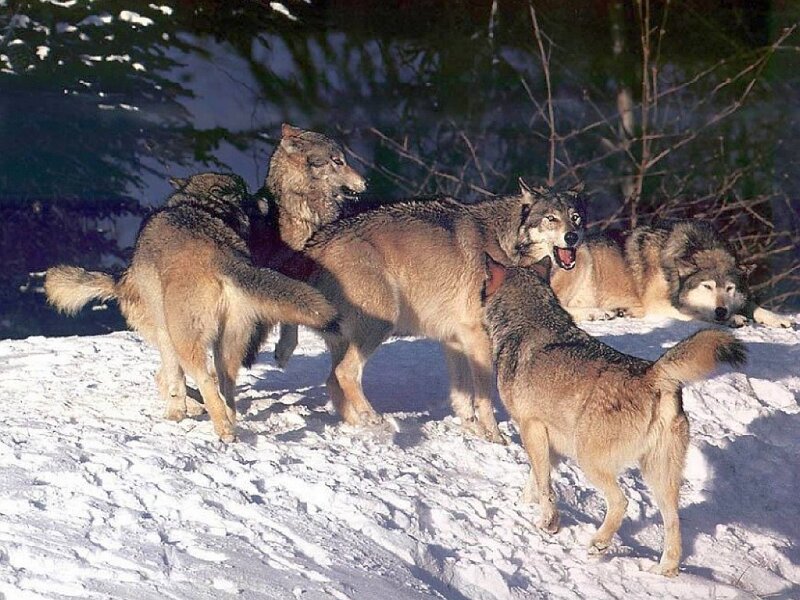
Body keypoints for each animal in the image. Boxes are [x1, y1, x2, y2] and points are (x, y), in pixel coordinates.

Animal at [45, 173, 338, 442]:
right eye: (247, 192)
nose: (265, 198)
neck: (202, 205)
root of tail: (221, 257)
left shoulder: (165, 334)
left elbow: (175, 380)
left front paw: (176, 413)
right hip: (228, 347)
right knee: (226, 387)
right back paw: (229, 423)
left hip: (188, 343)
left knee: (203, 379)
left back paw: (221, 428)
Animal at [265, 180, 586, 442]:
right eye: (551, 218)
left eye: (576, 218)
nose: (573, 237)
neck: (505, 244)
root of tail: (314, 244)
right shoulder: (478, 338)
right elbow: (484, 398)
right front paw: (496, 438)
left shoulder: (454, 341)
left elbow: (461, 397)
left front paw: (473, 431)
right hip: (382, 322)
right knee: (345, 373)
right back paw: (374, 418)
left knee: (333, 380)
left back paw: (360, 425)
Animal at [481, 254, 746, 576]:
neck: (528, 321)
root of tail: (653, 374)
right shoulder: (547, 441)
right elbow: (535, 480)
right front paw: (525, 506)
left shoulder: (530, 428)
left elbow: (545, 486)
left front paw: (548, 523)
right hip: (658, 477)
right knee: (673, 520)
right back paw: (664, 570)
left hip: (589, 460)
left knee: (622, 502)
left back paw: (599, 543)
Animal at [625, 220, 793, 328]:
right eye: (707, 287)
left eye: (729, 288)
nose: (721, 311)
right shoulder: (656, 304)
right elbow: (698, 313)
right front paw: (734, 318)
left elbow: (752, 305)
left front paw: (778, 319)